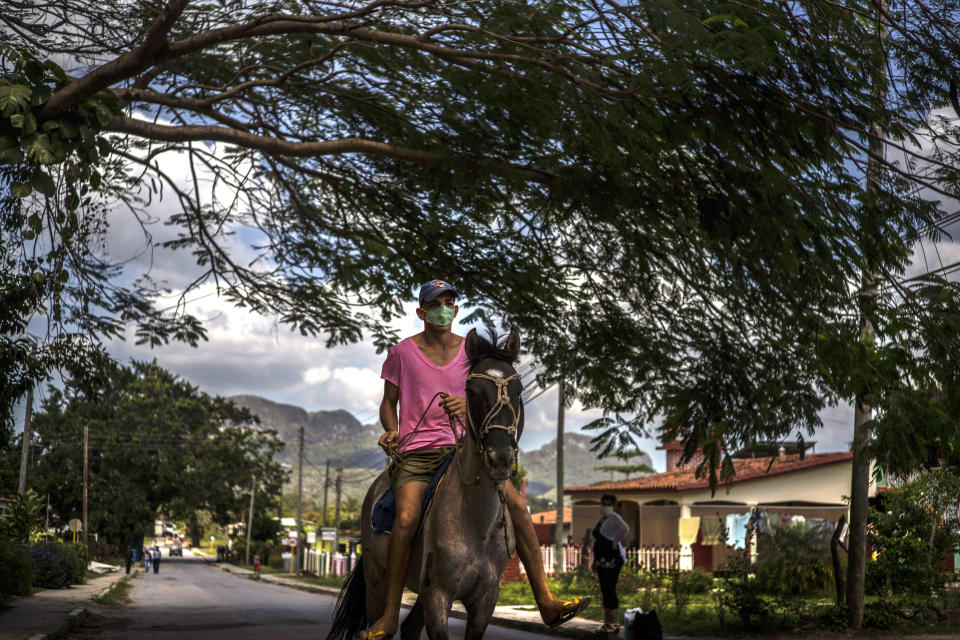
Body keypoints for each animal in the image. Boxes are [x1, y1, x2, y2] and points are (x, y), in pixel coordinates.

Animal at [330, 330, 524, 640]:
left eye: (518, 391)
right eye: (472, 392)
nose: (500, 458)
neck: (477, 524)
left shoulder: (485, 601)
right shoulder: (438, 595)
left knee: (410, 628)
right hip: (377, 580)